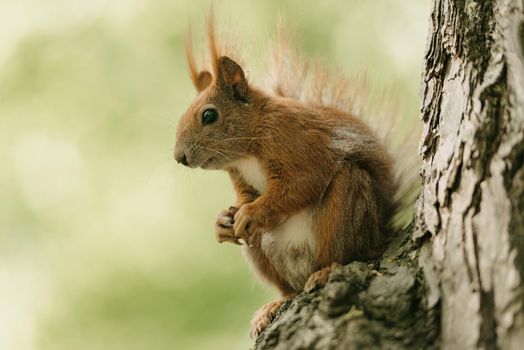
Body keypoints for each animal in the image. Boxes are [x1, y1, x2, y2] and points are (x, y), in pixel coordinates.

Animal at [175, 15, 414, 338]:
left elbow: (303, 183)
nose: (180, 157)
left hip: (348, 206)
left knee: (346, 253)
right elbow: (245, 197)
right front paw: (223, 221)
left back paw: (326, 270)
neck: (247, 149)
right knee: (289, 288)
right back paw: (275, 304)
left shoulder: (296, 142)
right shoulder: (240, 176)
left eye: (209, 115)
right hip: (267, 255)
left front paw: (251, 212)